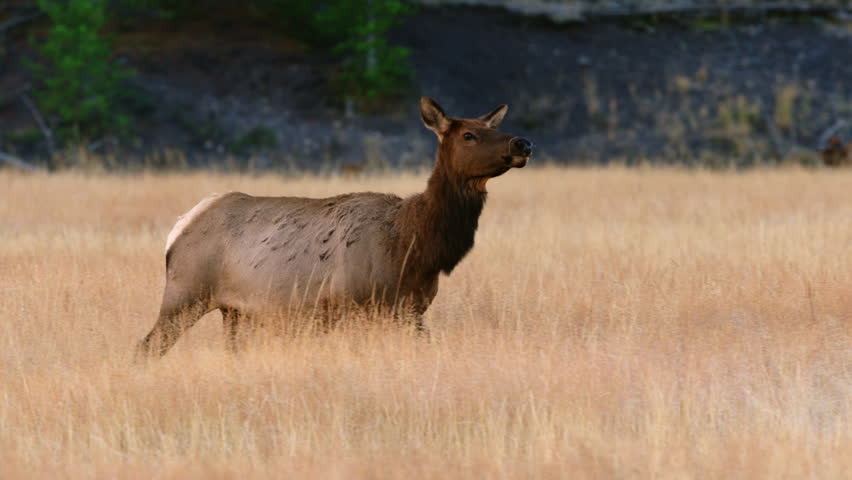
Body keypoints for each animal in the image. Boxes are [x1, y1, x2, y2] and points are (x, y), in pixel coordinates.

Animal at [136, 97, 534, 357]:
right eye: (468, 135)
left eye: (492, 127)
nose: (523, 142)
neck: (414, 247)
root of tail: (180, 227)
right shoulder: (353, 306)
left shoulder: (411, 310)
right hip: (186, 291)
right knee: (146, 346)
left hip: (235, 312)